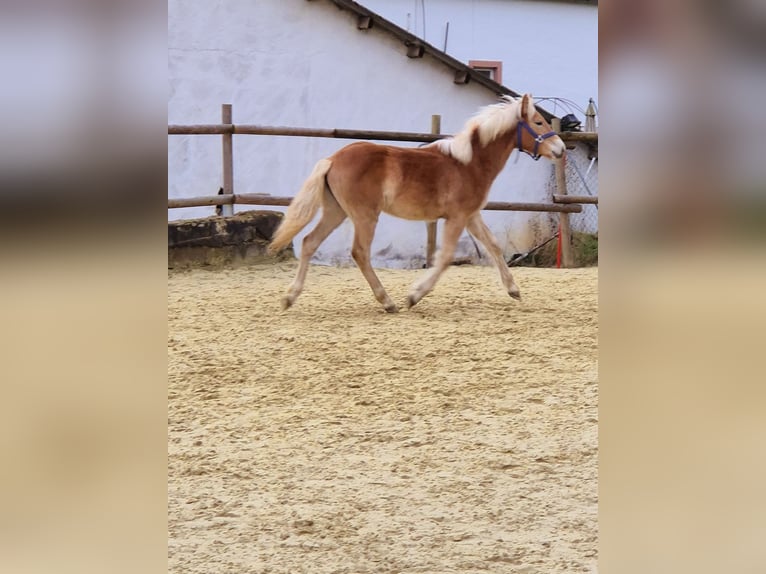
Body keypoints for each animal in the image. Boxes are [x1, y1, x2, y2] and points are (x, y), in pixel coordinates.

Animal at [268, 93, 564, 316]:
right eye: (538, 122)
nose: (560, 149)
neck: (469, 163)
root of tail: (332, 159)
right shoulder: (457, 217)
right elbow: (445, 257)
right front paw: (414, 296)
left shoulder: (471, 216)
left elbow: (493, 245)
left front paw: (513, 290)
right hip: (365, 215)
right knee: (359, 252)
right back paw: (388, 302)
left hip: (336, 211)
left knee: (309, 242)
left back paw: (289, 297)